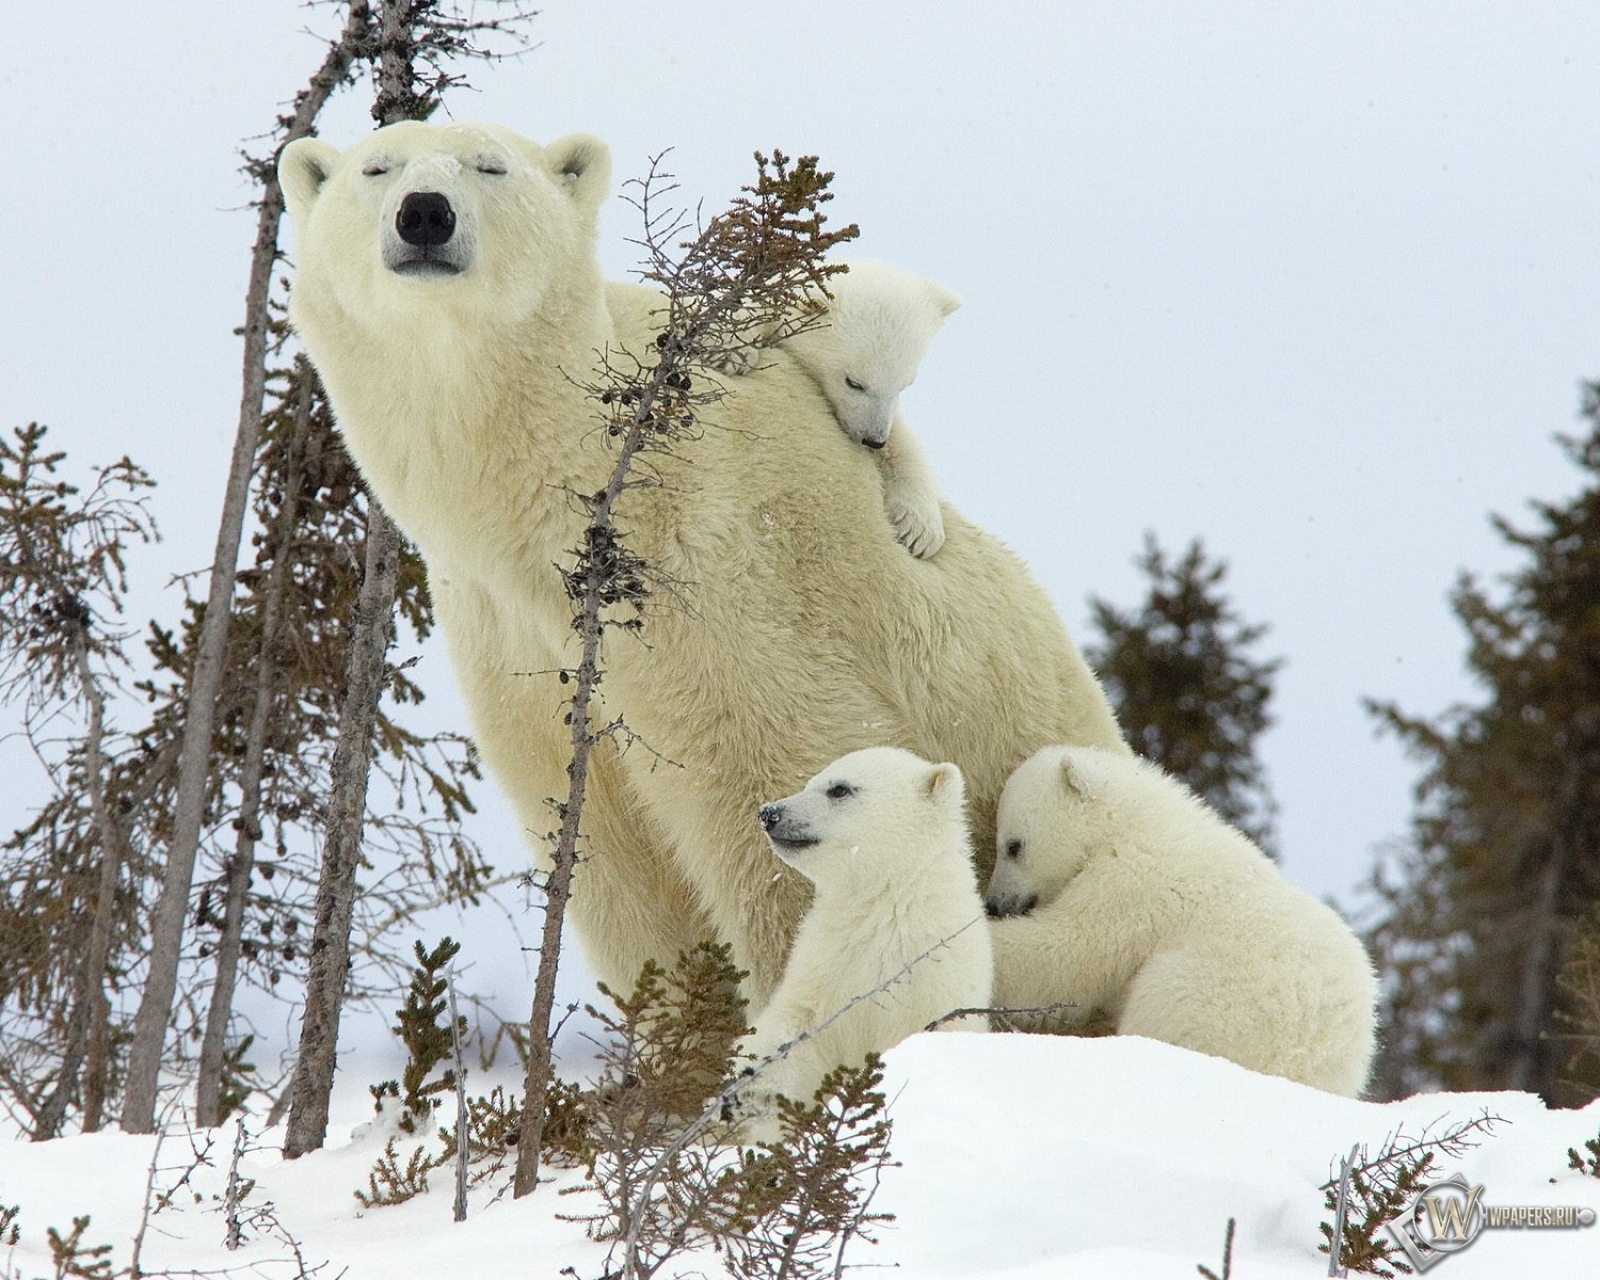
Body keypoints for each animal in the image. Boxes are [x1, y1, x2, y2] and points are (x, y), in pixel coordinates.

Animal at [720, 259, 953, 553]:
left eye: (905, 384)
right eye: (853, 382)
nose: (874, 440)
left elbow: (903, 445)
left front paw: (920, 532)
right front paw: (731, 348)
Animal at [732, 748, 985, 1132]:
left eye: (839, 789)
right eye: (810, 781)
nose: (769, 813)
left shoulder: (937, 981)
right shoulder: (825, 963)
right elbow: (798, 1025)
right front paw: (747, 1084)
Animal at [985, 745, 1376, 1094]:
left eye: (1013, 845)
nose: (994, 903)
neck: (1131, 822)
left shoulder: (1132, 885)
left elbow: (1069, 953)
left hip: (1216, 1000)